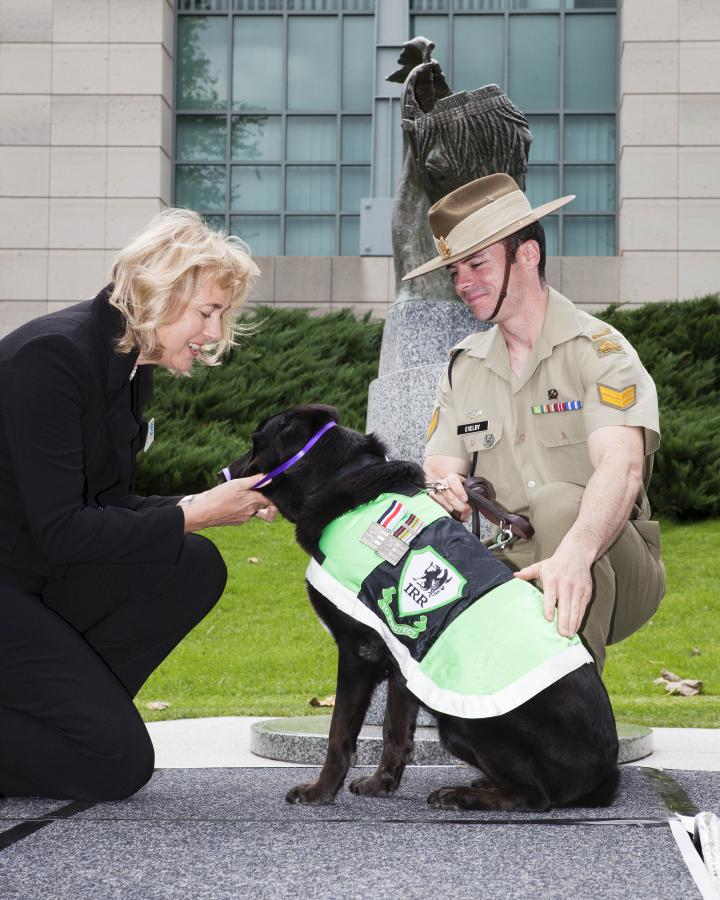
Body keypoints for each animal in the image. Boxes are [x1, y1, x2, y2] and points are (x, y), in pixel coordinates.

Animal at [229, 404, 620, 812]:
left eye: (255, 441)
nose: (225, 472)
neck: (340, 478)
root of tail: (605, 773)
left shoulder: (359, 651)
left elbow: (340, 734)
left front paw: (320, 792)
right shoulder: (404, 657)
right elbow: (395, 731)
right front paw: (380, 784)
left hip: (461, 722)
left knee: (535, 796)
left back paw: (462, 795)